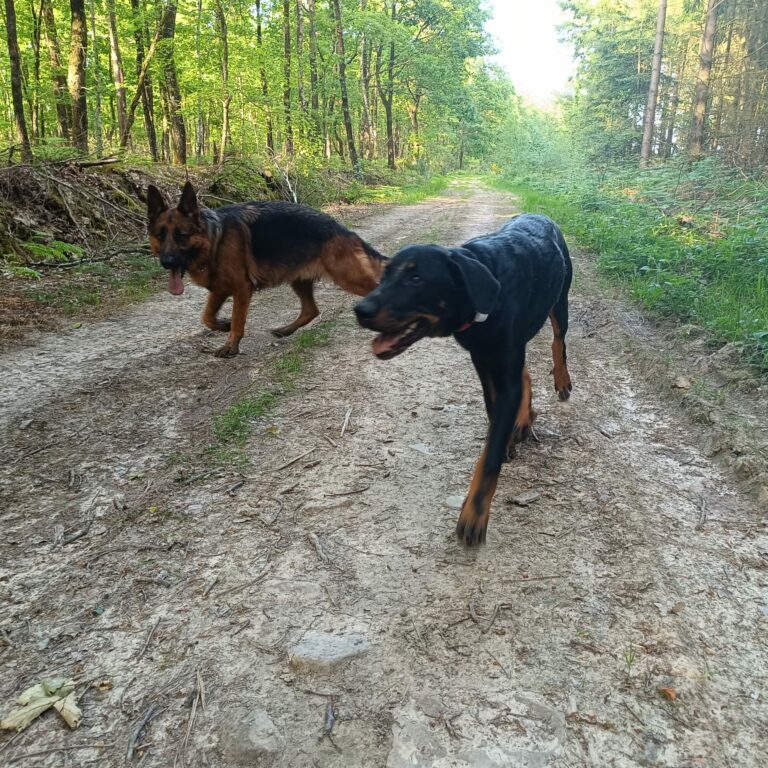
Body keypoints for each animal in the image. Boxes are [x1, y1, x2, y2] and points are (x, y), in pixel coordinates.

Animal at [146, 182, 384, 358]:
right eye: (160, 235)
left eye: (182, 236)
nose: (167, 262)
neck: (215, 238)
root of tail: (343, 229)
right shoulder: (219, 289)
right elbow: (207, 317)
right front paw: (223, 325)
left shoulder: (241, 289)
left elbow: (238, 320)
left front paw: (231, 345)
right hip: (299, 280)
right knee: (311, 310)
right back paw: (286, 330)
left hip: (347, 276)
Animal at [354, 213, 568, 544]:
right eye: (385, 275)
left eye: (416, 279)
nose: (360, 309)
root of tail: (541, 215)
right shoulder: (484, 364)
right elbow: (496, 418)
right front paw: (509, 435)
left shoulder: (503, 370)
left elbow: (489, 457)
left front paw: (474, 513)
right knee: (526, 372)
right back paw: (523, 419)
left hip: (560, 302)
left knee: (559, 342)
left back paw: (561, 379)